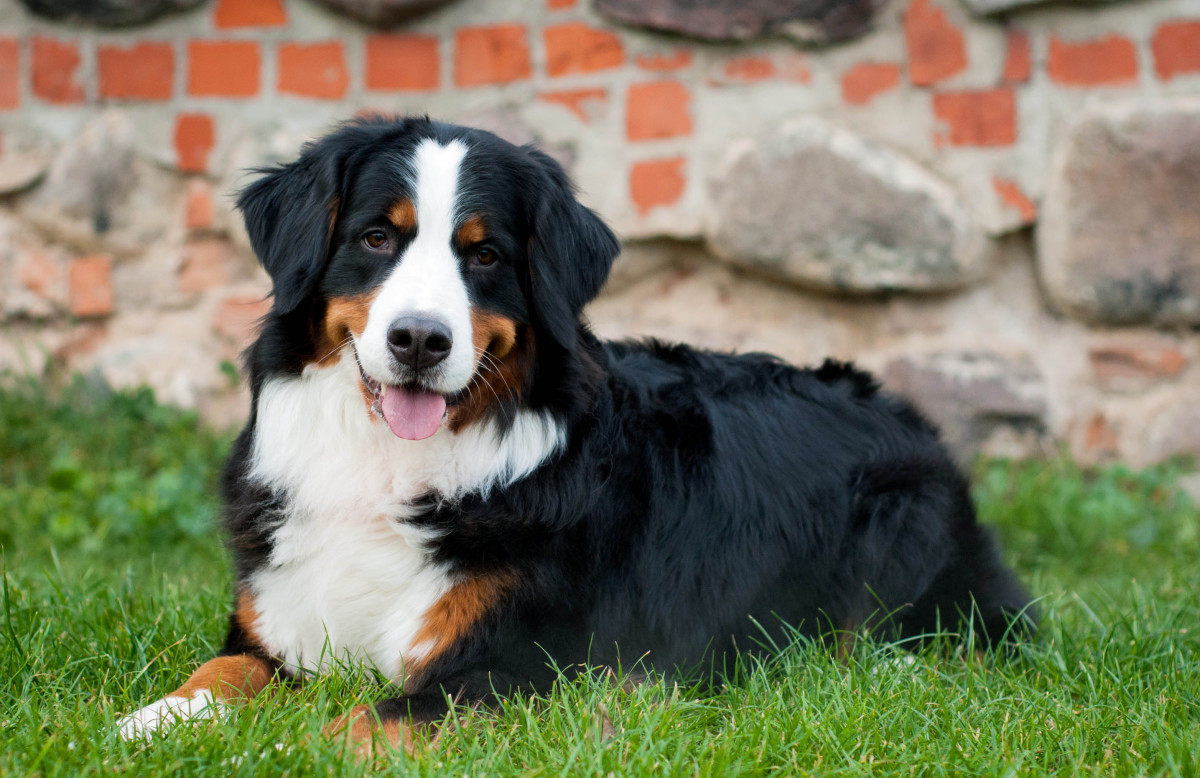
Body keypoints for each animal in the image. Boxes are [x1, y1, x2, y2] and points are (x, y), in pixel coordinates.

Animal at [124, 117, 1041, 753]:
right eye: (376, 237)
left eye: (484, 255)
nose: (420, 340)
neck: (389, 466)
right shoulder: (277, 624)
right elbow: (220, 670)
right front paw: (151, 722)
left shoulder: (522, 665)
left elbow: (358, 722)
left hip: (898, 529)